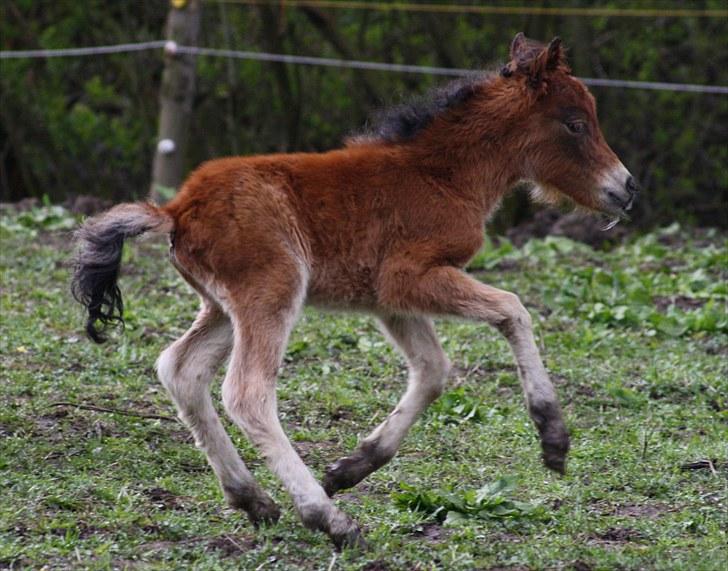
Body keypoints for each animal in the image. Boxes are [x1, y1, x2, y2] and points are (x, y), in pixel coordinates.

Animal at [69, 34, 636, 548]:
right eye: (575, 123)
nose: (627, 188)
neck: (443, 175)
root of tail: (176, 209)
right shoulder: (410, 277)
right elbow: (513, 310)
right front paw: (553, 438)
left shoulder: (390, 300)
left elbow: (433, 370)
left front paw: (351, 467)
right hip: (272, 292)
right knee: (246, 393)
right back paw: (329, 520)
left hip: (223, 308)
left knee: (180, 369)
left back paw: (254, 499)